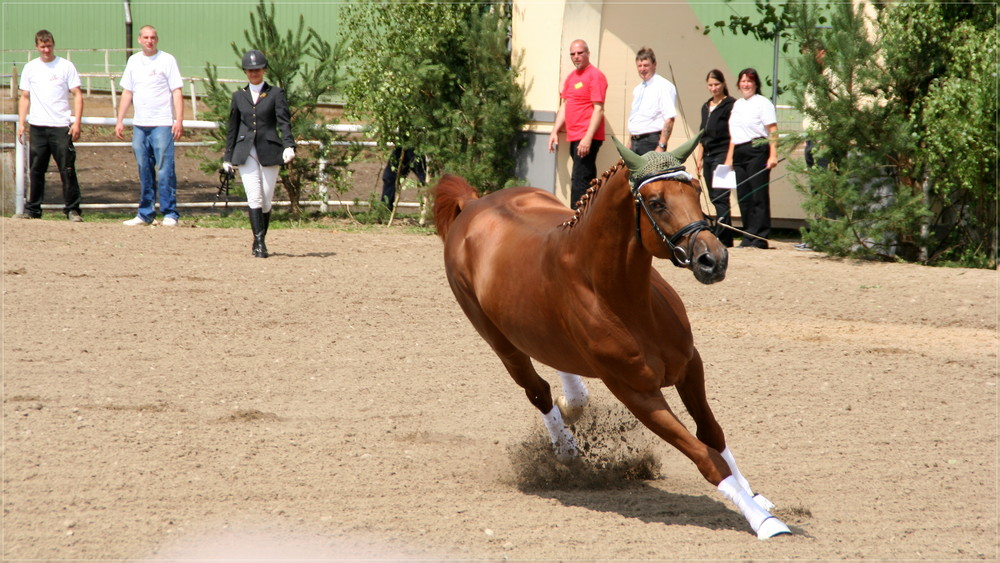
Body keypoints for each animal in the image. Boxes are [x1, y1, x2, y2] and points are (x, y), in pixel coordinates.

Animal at [430, 138, 788, 540]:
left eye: (696, 190)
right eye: (656, 202)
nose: (714, 259)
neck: (625, 299)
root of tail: (474, 204)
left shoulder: (689, 367)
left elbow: (712, 433)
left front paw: (756, 498)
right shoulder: (637, 394)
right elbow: (705, 456)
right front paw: (764, 522)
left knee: (558, 365)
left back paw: (573, 401)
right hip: (501, 343)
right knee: (537, 390)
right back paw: (567, 450)